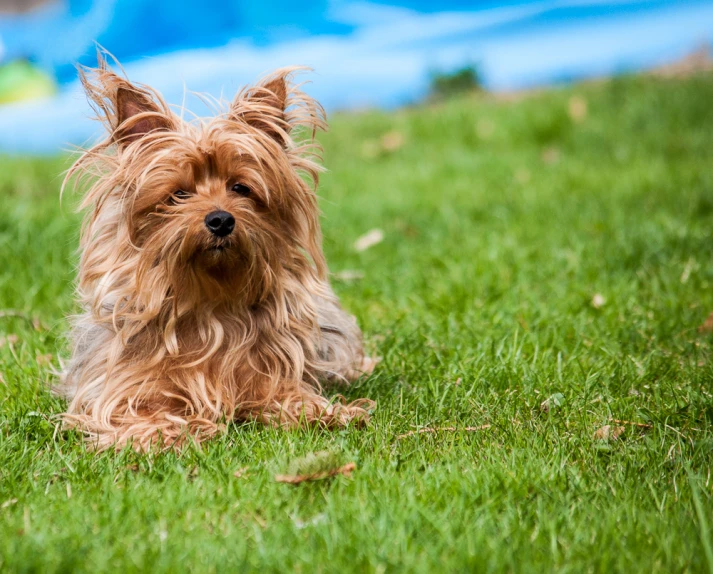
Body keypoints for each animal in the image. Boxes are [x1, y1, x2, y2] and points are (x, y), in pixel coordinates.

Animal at [59, 59, 378, 454]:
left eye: (240, 188)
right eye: (179, 194)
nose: (221, 219)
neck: (211, 301)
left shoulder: (273, 371)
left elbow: (287, 394)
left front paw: (325, 412)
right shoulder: (123, 384)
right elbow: (135, 408)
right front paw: (164, 431)